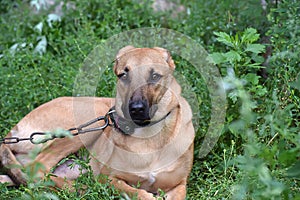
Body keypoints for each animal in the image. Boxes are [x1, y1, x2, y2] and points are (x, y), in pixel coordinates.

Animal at [0, 46, 195, 199]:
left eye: (155, 76)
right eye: (123, 75)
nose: (135, 109)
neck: (148, 136)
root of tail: (12, 132)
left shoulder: (178, 185)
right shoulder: (108, 177)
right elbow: (136, 192)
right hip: (87, 123)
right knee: (37, 170)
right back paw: (81, 188)